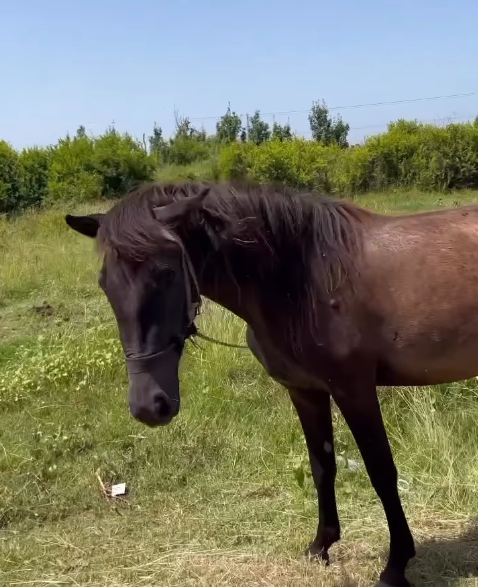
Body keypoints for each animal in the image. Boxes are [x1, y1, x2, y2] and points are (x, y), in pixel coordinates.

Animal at [66, 181, 478, 587]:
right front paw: (321, 546)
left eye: (166, 273)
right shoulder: (306, 392)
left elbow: (382, 472)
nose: (148, 406)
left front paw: (395, 565)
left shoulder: (355, 391)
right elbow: (322, 466)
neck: (303, 281)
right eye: (105, 284)